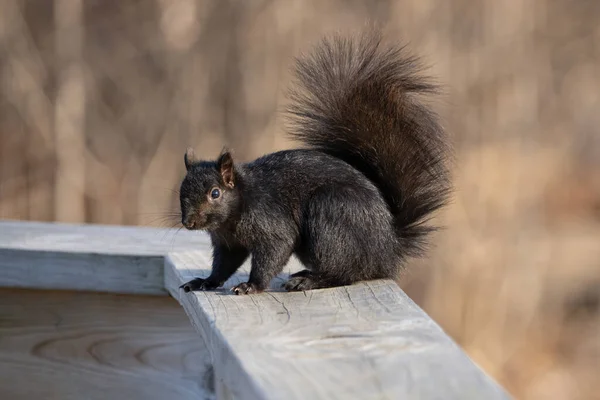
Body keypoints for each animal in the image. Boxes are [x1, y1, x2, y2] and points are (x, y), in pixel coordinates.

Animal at [178, 30, 450, 294]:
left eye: (215, 193)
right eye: (182, 190)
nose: (188, 222)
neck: (235, 212)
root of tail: (388, 248)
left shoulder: (270, 222)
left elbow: (274, 250)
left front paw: (251, 285)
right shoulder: (228, 242)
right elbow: (224, 264)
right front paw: (205, 281)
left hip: (332, 213)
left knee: (345, 273)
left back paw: (307, 281)